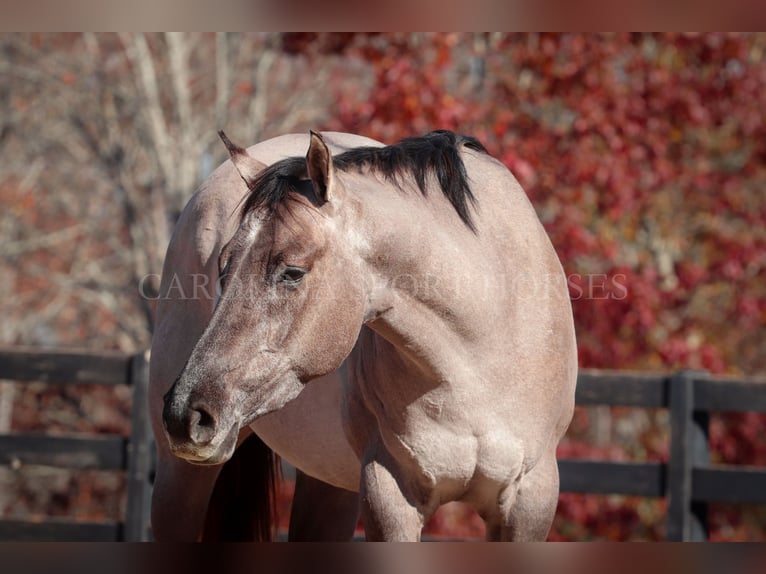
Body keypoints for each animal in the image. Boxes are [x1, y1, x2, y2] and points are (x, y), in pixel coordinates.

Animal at [154, 128, 576, 544]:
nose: (185, 413)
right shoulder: (388, 495)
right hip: (181, 476)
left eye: (292, 272)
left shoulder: (529, 502)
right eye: (222, 268)